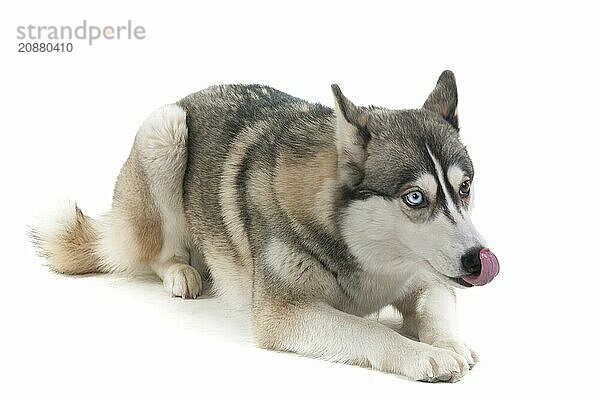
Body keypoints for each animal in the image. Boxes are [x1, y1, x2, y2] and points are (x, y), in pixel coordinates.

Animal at [32, 71, 502, 382]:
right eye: (415, 198)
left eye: (464, 187)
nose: (478, 260)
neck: (364, 251)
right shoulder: (284, 314)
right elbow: (368, 328)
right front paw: (423, 355)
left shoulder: (427, 278)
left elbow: (434, 306)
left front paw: (449, 344)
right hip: (164, 133)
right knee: (155, 252)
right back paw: (181, 272)